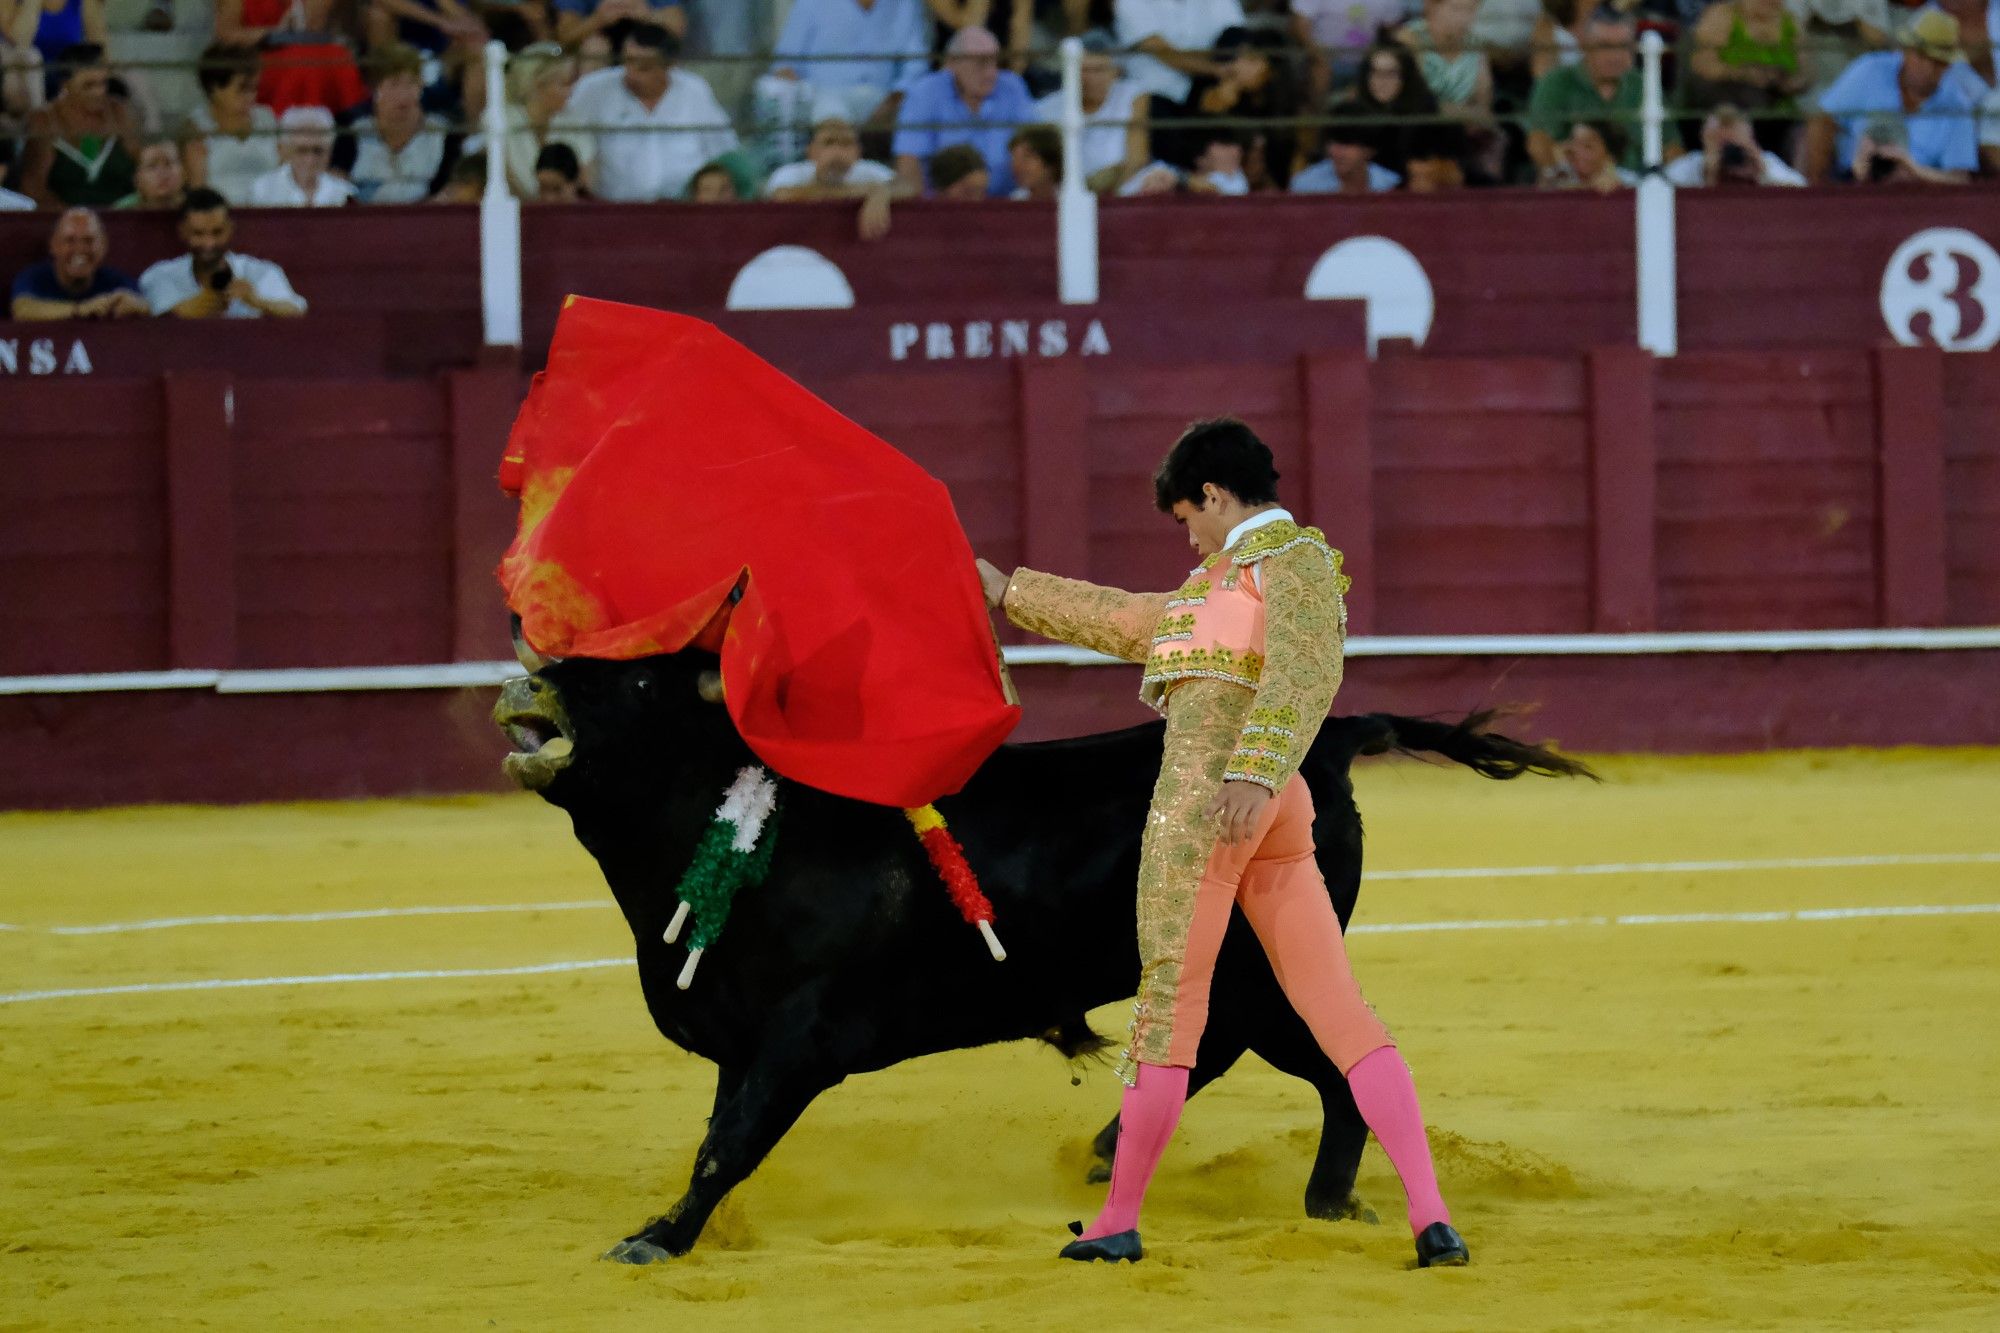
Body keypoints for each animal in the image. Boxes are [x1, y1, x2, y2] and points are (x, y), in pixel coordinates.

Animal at [492, 648, 1584, 1264]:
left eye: (636, 680)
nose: (524, 682)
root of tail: (1326, 738)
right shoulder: (739, 1043)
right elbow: (722, 1135)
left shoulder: (796, 1040)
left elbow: (725, 1145)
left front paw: (653, 1239)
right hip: (1245, 981)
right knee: (1233, 1055)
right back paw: (1118, 1151)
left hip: (1267, 978)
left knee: (1325, 1065)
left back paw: (1325, 1200)